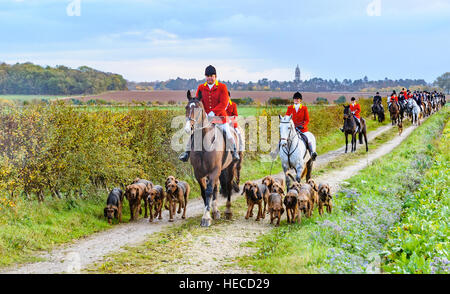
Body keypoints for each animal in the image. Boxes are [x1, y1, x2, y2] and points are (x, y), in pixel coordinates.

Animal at [185, 90, 243, 226]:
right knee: (217, 187)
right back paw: (216, 211)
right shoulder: (199, 172)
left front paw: (206, 218)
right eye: (186, 107)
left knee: (228, 184)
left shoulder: (214, 170)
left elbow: (209, 191)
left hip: (230, 166)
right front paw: (209, 213)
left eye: (199, 108)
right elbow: (204, 192)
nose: (188, 128)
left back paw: (228, 211)